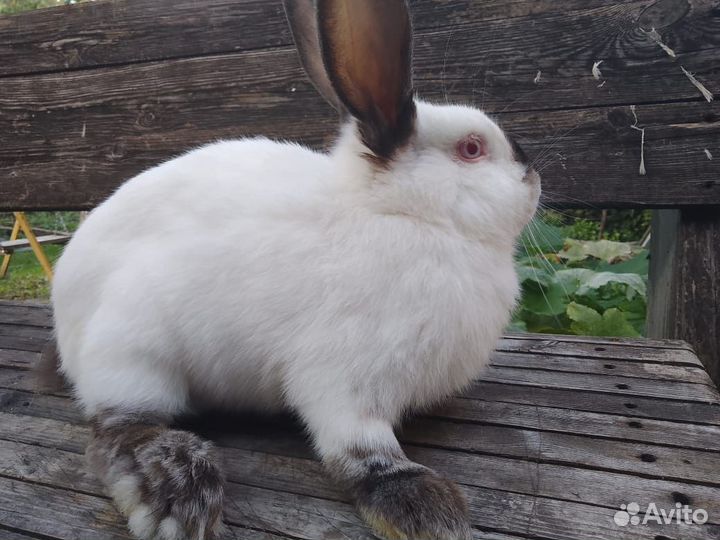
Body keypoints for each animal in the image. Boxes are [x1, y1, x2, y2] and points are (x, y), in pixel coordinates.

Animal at [50, 0, 540, 539]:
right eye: (472, 148)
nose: (533, 175)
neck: (401, 214)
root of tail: (63, 310)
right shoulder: (346, 377)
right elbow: (360, 448)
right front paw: (423, 506)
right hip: (132, 353)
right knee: (118, 429)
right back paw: (180, 493)